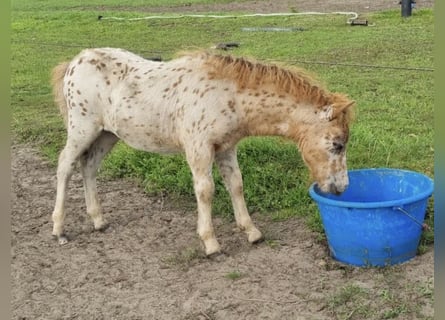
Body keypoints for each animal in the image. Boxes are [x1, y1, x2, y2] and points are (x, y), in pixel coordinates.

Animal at [50, 48, 354, 255]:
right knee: (65, 165)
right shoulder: (199, 148)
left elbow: (236, 185)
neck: (228, 95)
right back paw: (59, 229)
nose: (341, 187)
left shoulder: (226, 148)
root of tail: (75, 62)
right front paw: (210, 243)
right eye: (337, 144)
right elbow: (206, 190)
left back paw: (98, 220)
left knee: (88, 167)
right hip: (82, 129)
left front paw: (251, 232)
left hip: (107, 135)